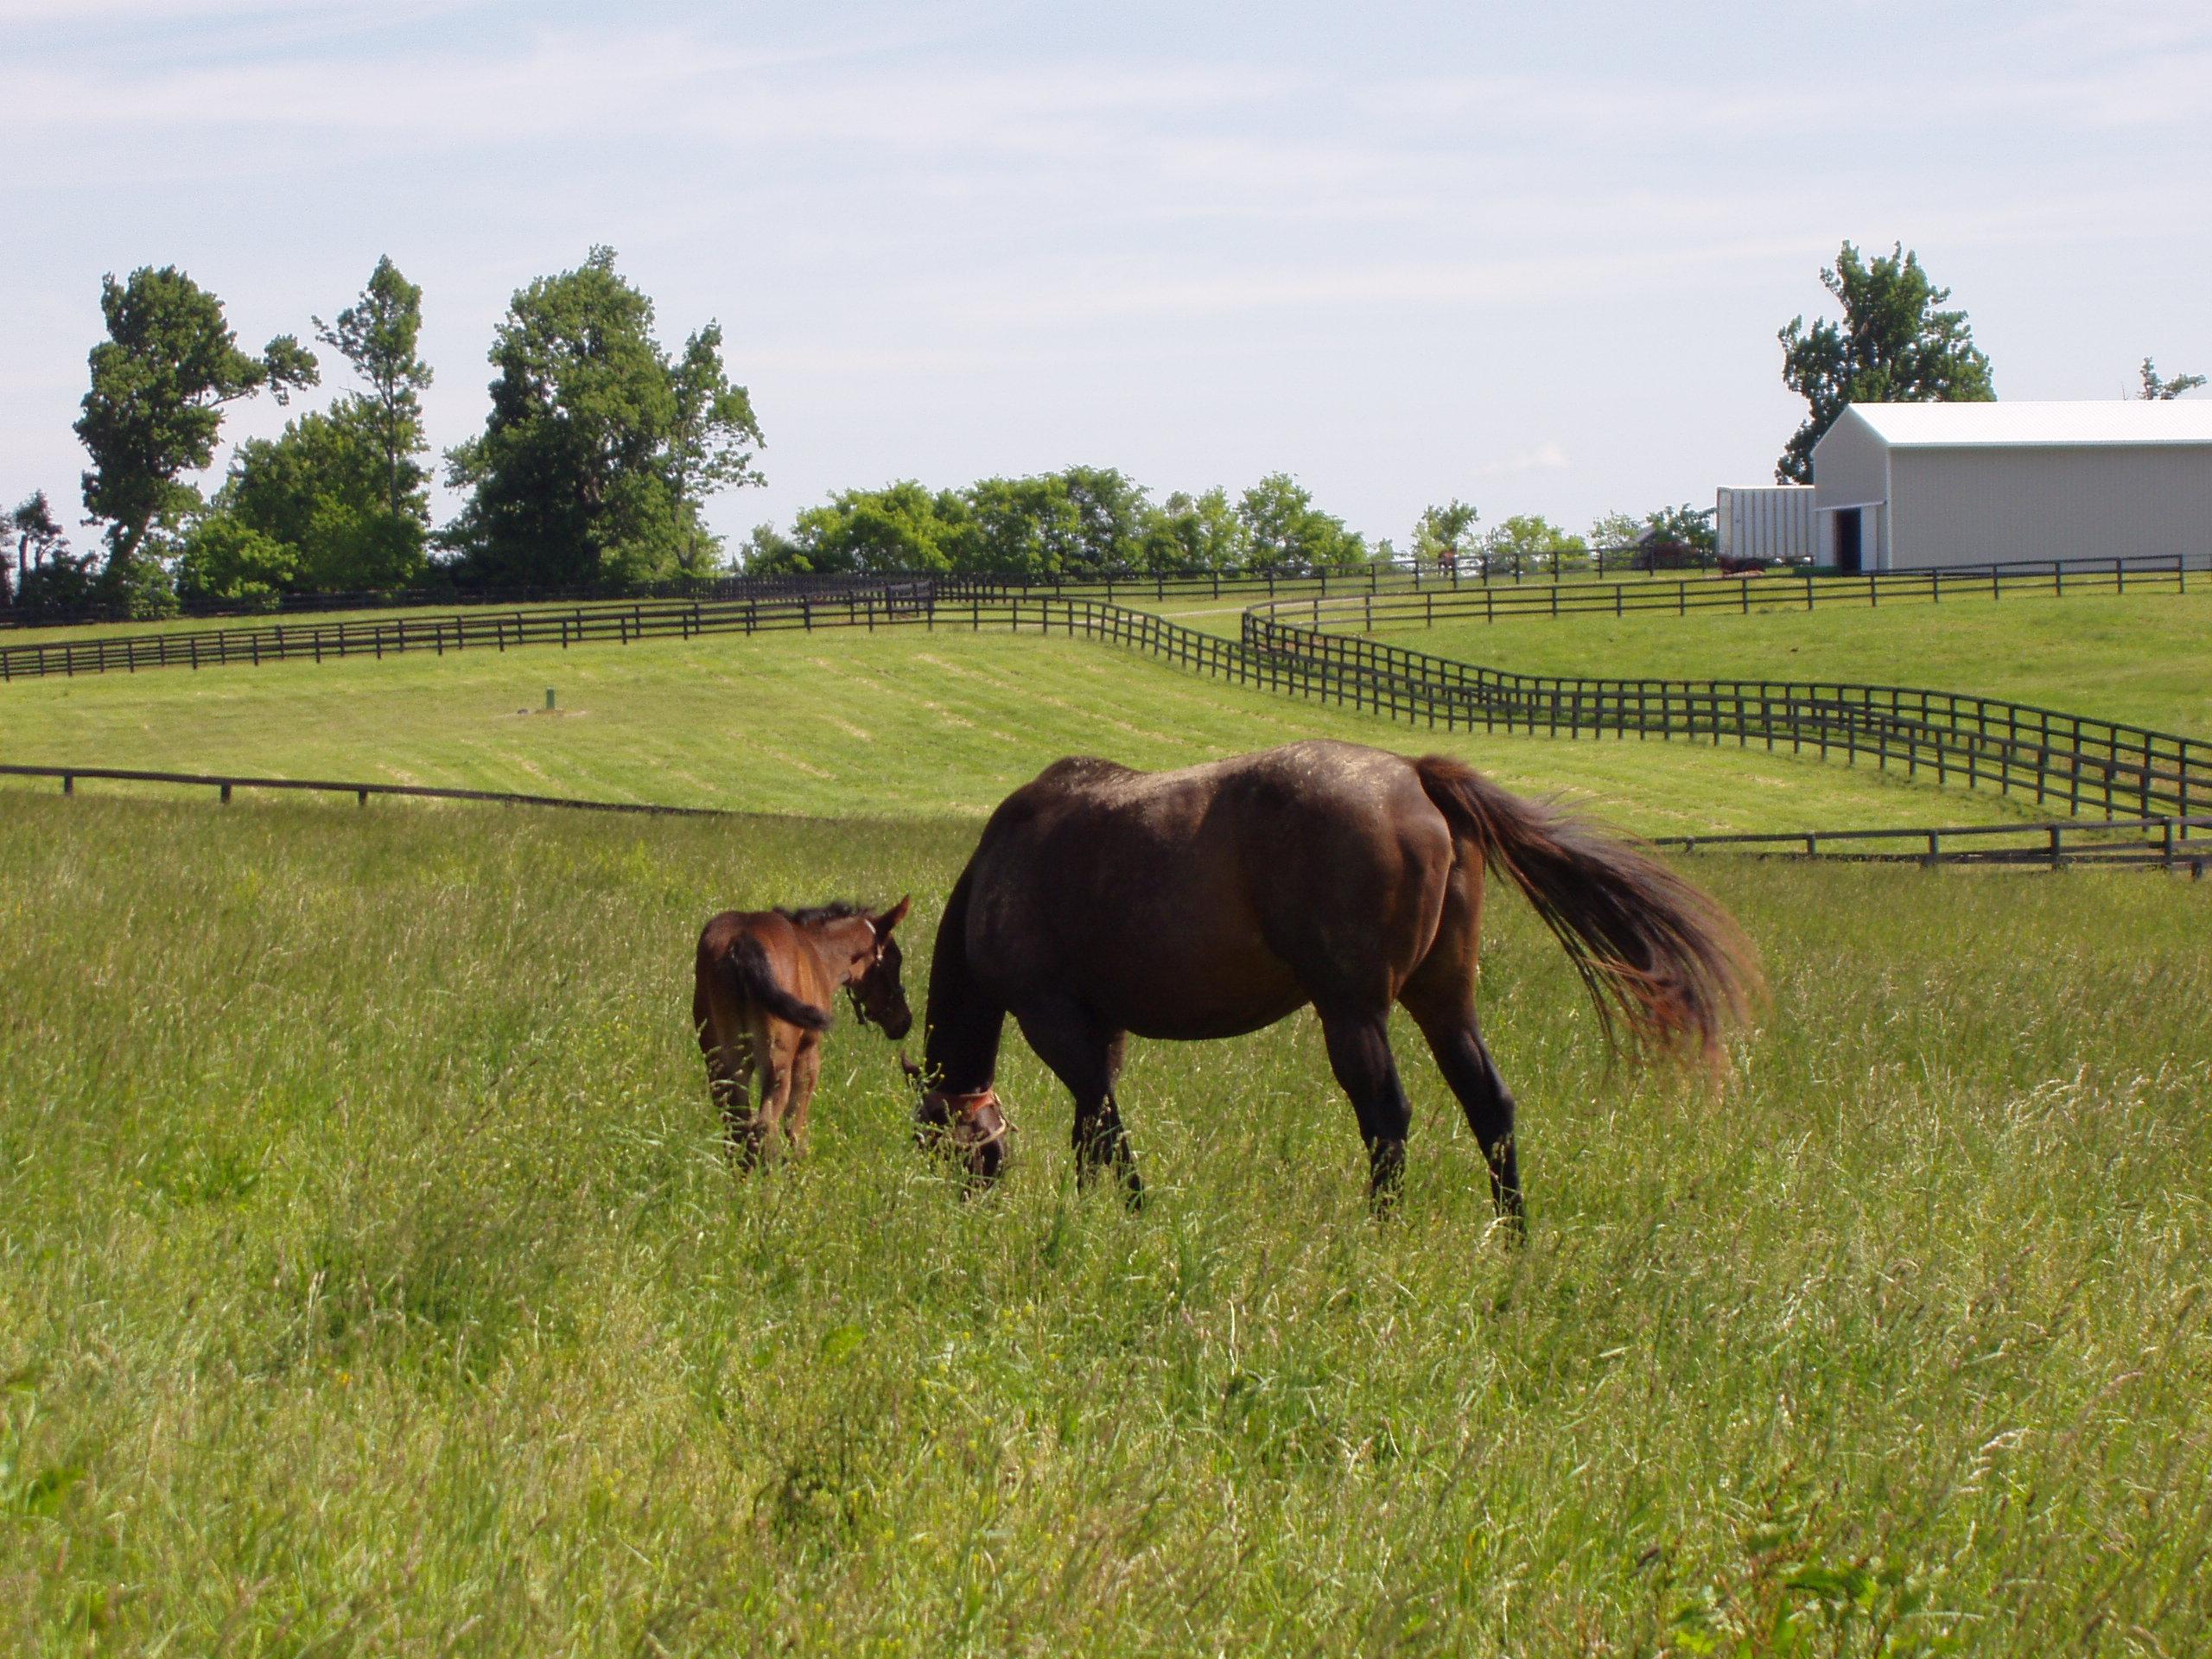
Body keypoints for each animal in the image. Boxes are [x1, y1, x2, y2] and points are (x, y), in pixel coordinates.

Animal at [681, 898, 906, 1167]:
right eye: (896, 959)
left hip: (723, 1062)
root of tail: (740, 942)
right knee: (765, 1127)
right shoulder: (808, 1053)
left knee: (737, 1129)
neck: (817, 952)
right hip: (777, 1059)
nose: (904, 1021)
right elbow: (796, 1125)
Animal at [915, 747, 1760, 1230]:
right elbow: (1090, 1129)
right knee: (1489, 1105)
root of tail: (1417, 776)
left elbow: (1103, 1125)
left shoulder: (1055, 1019)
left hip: (1352, 1010)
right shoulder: (1101, 1029)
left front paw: (1128, 1214)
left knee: (1386, 1117)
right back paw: (1514, 1238)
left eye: (937, 1148)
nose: (964, 1220)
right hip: (1445, 1001)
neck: (1002, 865)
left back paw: (1379, 1235)